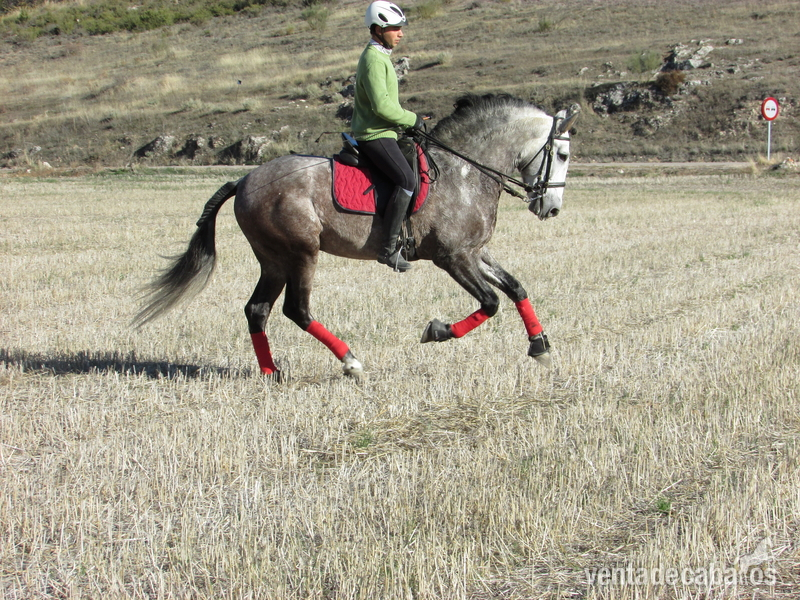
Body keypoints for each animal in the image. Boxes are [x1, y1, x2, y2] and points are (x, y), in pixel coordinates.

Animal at [136, 93, 580, 378]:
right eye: (561, 154)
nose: (552, 208)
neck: (466, 171)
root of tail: (244, 179)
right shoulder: (453, 257)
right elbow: (490, 303)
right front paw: (437, 331)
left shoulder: (475, 251)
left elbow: (516, 288)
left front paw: (540, 346)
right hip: (301, 254)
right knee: (296, 310)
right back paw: (350, 362)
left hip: (274, 259)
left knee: (257, 310)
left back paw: (270, 372)